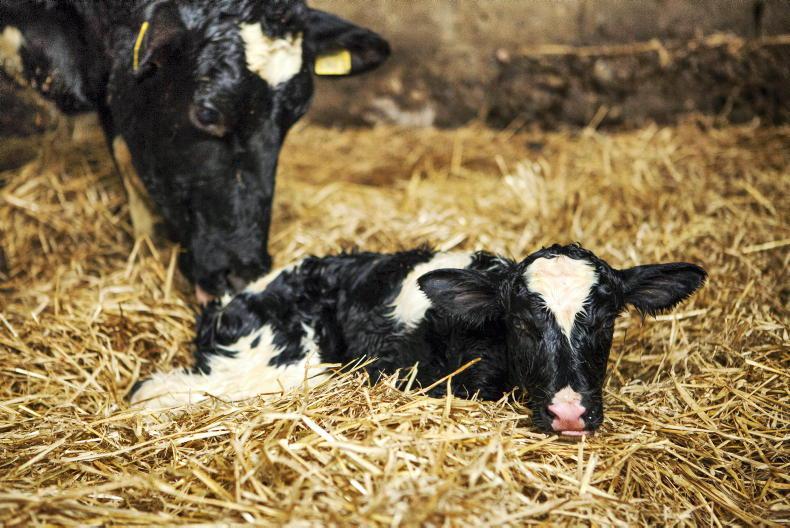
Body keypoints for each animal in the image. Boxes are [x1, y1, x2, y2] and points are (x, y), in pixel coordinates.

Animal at [129, 243, 707, 436]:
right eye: (522, 322)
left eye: (606, 320)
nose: (569, 412)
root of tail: (228, 304)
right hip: (278, 366)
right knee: (150, 391)